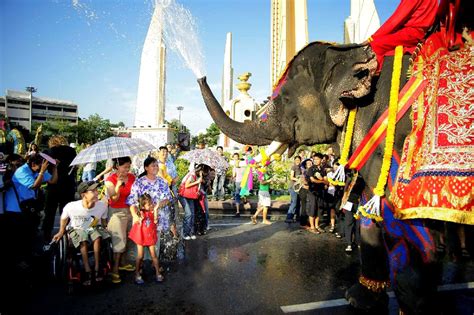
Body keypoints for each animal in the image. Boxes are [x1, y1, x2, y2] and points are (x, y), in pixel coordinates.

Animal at [198, 36, 472, 314]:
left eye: (285, 99)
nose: (202, 76)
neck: (348, 52)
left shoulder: (397, 149)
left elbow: (406, 227)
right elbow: (369, 212)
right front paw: (359, 300)